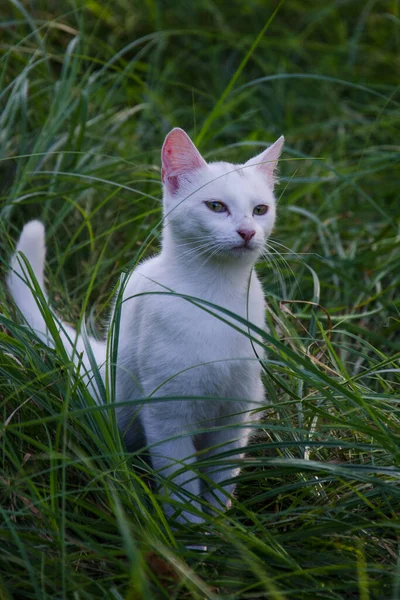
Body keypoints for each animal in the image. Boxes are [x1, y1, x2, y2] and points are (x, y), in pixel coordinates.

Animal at [7, 126, 284, 524]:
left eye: (260, 209)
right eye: (216, 206)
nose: (247, 231)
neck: (215, 296)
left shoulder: (236, 412)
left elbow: (222, 478)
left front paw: (221, 527)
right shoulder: (166, 415)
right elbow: (182, 485)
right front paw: (192, 533)